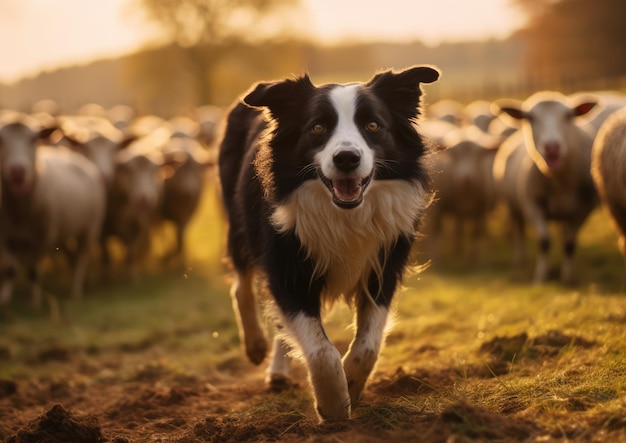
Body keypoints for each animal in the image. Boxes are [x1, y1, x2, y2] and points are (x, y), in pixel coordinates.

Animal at [0, 112, 105, 306]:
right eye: (1, 140)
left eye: (33, 139)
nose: (18, 171)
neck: (20, 212)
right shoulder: (6, 238)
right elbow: (10, 270)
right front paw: (5, 301)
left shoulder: (43, 238)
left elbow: (33, 272)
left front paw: (34, 304)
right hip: (64, 233)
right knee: (72, 258)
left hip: (90, 230)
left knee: (82, 258)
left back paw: (75, 291)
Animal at [219, 64, 438, 422]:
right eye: (317, 127)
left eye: (373, 125)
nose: (347, 158)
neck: (344, 215)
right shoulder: (287, 266)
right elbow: (320, 349)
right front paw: (334, 404)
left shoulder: (383, 265)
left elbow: (368, 344)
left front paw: (351, 385)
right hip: (239, 222)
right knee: (242, 286)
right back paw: (255, 347)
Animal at [490, 92, 596, 284]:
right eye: (530, 118)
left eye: (568, 116)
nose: (552, 147)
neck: (561, 182)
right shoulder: (532, 205)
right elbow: (544, 241)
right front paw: (540, 277)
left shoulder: (583, 210)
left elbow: (569, 244)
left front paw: (567, 278)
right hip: (513, 207)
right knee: (519, 232)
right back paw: (521, 261)